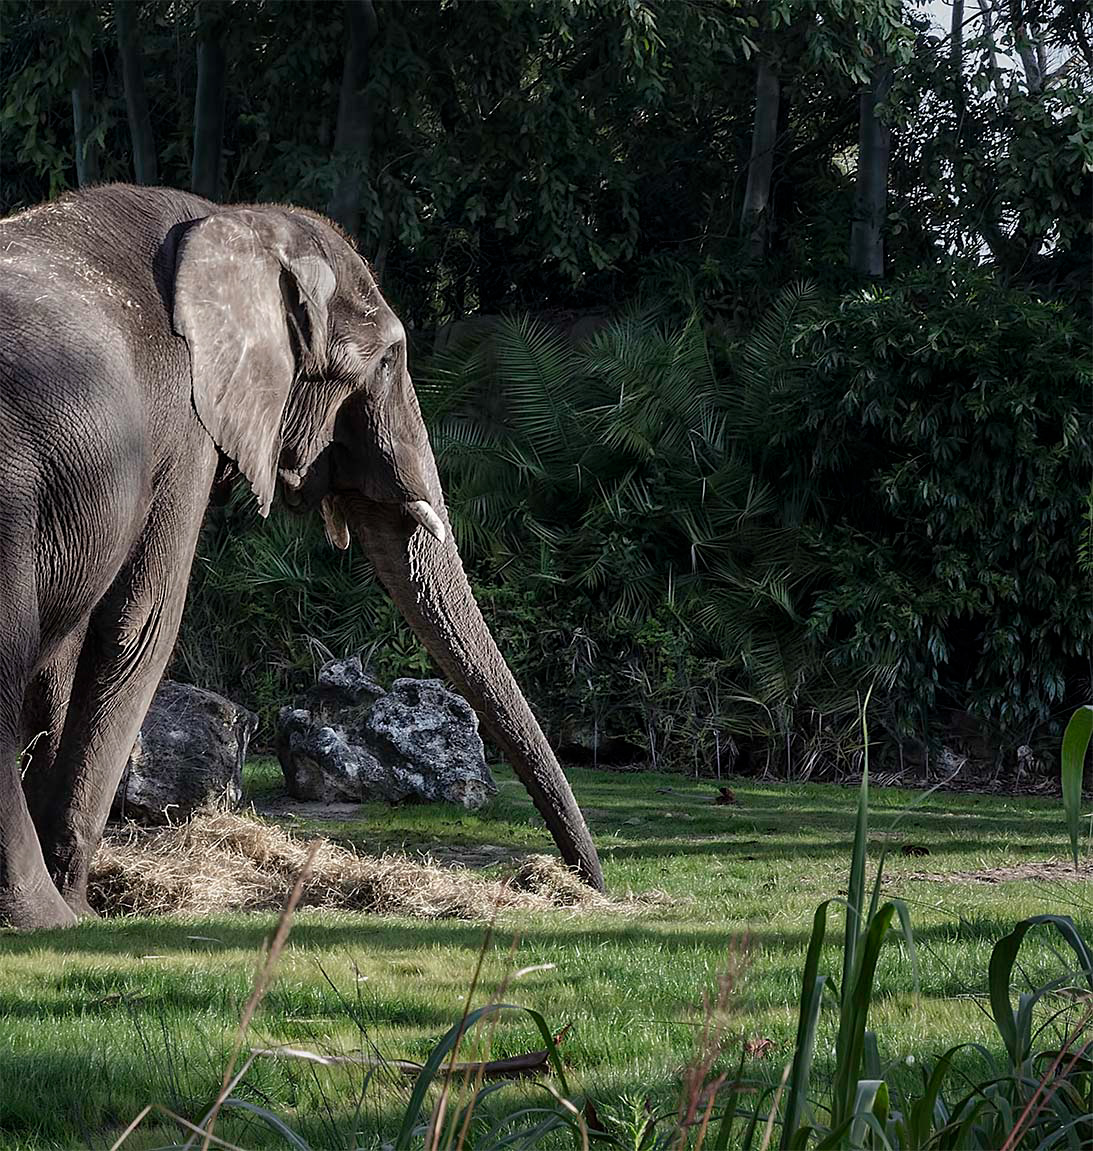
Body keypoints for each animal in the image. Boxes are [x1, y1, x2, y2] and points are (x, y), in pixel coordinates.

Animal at [0, 184, 603, 930]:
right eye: (385, 361)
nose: (582, 881)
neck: (237, 221)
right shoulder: (181, 423)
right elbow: (142, 626)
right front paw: (82, 909)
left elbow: (74, 645)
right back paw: (42, 917)